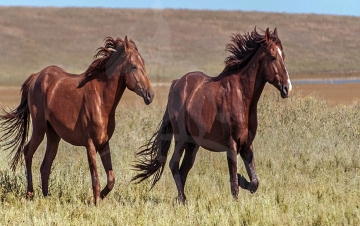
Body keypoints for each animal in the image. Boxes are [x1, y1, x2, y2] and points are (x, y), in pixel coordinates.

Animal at [0, 35, 153, 205]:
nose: (150, 95)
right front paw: (95, 201)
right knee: (27, 152)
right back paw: (30, 194)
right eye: (134, 66)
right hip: (39, 129)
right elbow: (95, 178)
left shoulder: (104, 144)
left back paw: (47, 197)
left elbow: (111, 179)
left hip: (54, 136)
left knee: (45, 165)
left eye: (144, 64)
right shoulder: (90, 144)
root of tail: (36, 77)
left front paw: (96, 198)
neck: (101, 100)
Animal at [132, 27, 292, 204]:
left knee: (183, 169)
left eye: (283, 56)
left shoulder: (247, 145)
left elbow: (255, 182)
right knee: (174, 164)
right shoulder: (231, 145)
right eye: (273, 57)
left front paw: (243, 178)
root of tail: (176, 83)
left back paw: (182, 199)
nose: (287, 88)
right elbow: (233, 183)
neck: (241, 97)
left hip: (192, 144)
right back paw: (182, 200)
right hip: (181, 138)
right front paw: (237, 190)